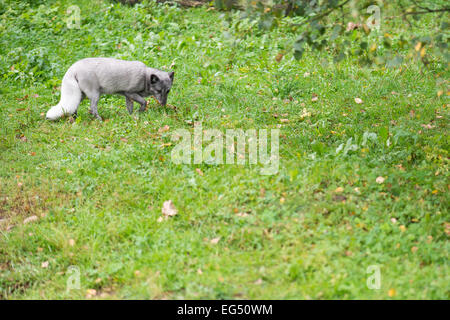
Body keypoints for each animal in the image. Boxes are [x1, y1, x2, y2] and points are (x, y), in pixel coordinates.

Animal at [44, 57, 173, 120]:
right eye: (158, 91)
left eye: (168, 91)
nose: (163, 104)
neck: (145, 77)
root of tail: (73, 68)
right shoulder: (130, 93)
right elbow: (144, 102)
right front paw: (140, 112)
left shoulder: (127, 96)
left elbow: (130, 107)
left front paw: (131, 116)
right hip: (95, 95)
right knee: (92, 108)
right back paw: (99, 119)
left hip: (81, 95)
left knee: (74, 107)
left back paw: (74, 118)